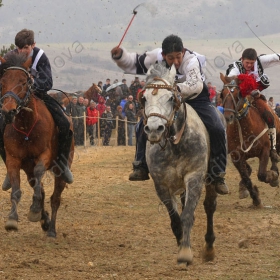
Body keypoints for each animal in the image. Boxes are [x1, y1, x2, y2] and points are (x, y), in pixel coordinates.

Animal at [0, 52, 74, 236]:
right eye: (2, 82)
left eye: (24, 82)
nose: (8, 112)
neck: (26, 126)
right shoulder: (13, 159)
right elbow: (16, 191)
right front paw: (12, 219)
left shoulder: (44, 155)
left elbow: (40, 173)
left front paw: (33, 209)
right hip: (28, 170)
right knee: (40, 189)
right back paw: (44, 220)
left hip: (60, 169)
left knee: (55, 198)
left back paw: (51, 229)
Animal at [141, 63, 218, 264]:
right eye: (144, 98)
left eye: (170, 98)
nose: (154, 129)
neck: (175, 144)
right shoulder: (161, 184)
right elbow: (175, 219)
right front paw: (180, 242)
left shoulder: (195, 178)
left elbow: (188, 215)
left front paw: (185, 251)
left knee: (209, 206)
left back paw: (209, 248)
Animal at [220, 73, 278, 207]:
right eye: (222, 94)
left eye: (238, 94)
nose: (228, 117)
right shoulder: (236, 157)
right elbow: (246, 178)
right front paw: (255, 198)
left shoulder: (265, 150)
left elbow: (261, 174)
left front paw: (272, 176)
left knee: (274, 154)